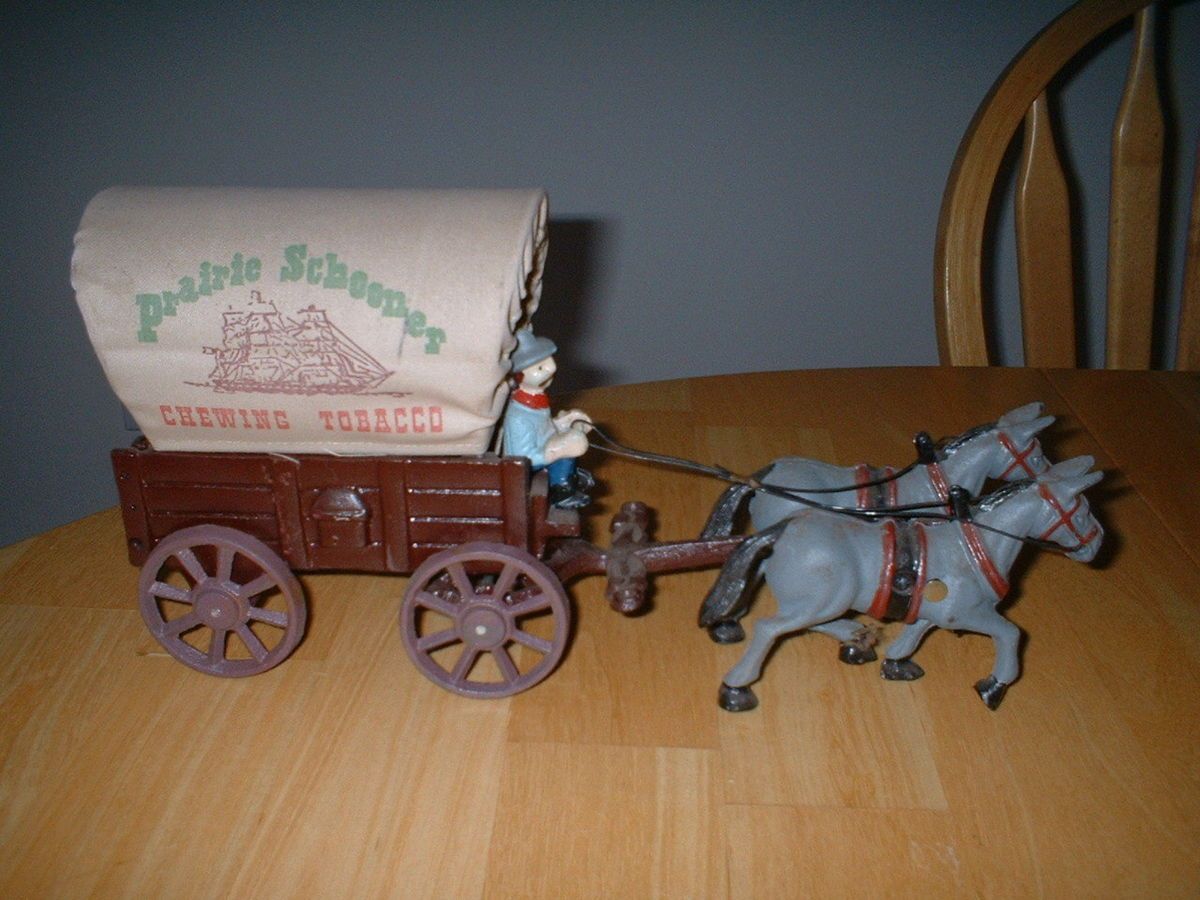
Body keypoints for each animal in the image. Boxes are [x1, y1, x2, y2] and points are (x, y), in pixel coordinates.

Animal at [700, 460, 1104, 715]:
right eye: (1082, 510)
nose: (1097, 545)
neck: (974, 546)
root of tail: (783, 531)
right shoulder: (968, 614)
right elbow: (1010, 634)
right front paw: (993, 687)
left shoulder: (935, 608)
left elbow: (915, 632)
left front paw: (896, 663)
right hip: (821, 600)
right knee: (769, 628)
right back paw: (737, 689)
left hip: (826, 600)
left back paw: (858, 639)